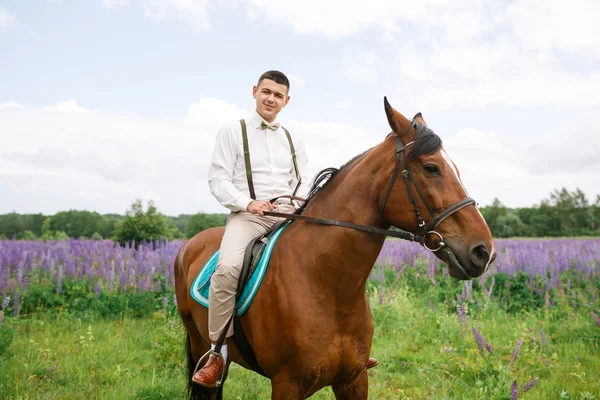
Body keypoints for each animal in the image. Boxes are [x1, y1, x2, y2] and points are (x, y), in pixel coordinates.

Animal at [173, 97, 496, 400]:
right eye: (431, 168)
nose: (484, 252)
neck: (328, 284)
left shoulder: (353, 380)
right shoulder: (286, 385)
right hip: (201, 343)